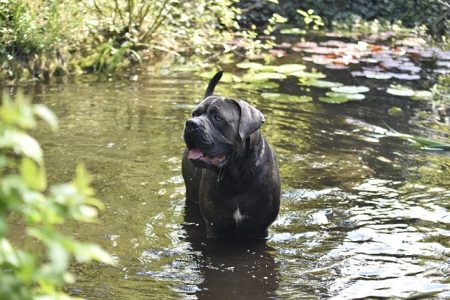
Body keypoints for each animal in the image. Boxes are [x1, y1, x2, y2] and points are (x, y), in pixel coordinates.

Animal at [181, 71, 280, 239]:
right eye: (195, 114)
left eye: (218, 118)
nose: (190, 123)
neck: (237, 177)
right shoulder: (215, 226)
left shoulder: (259, 228)